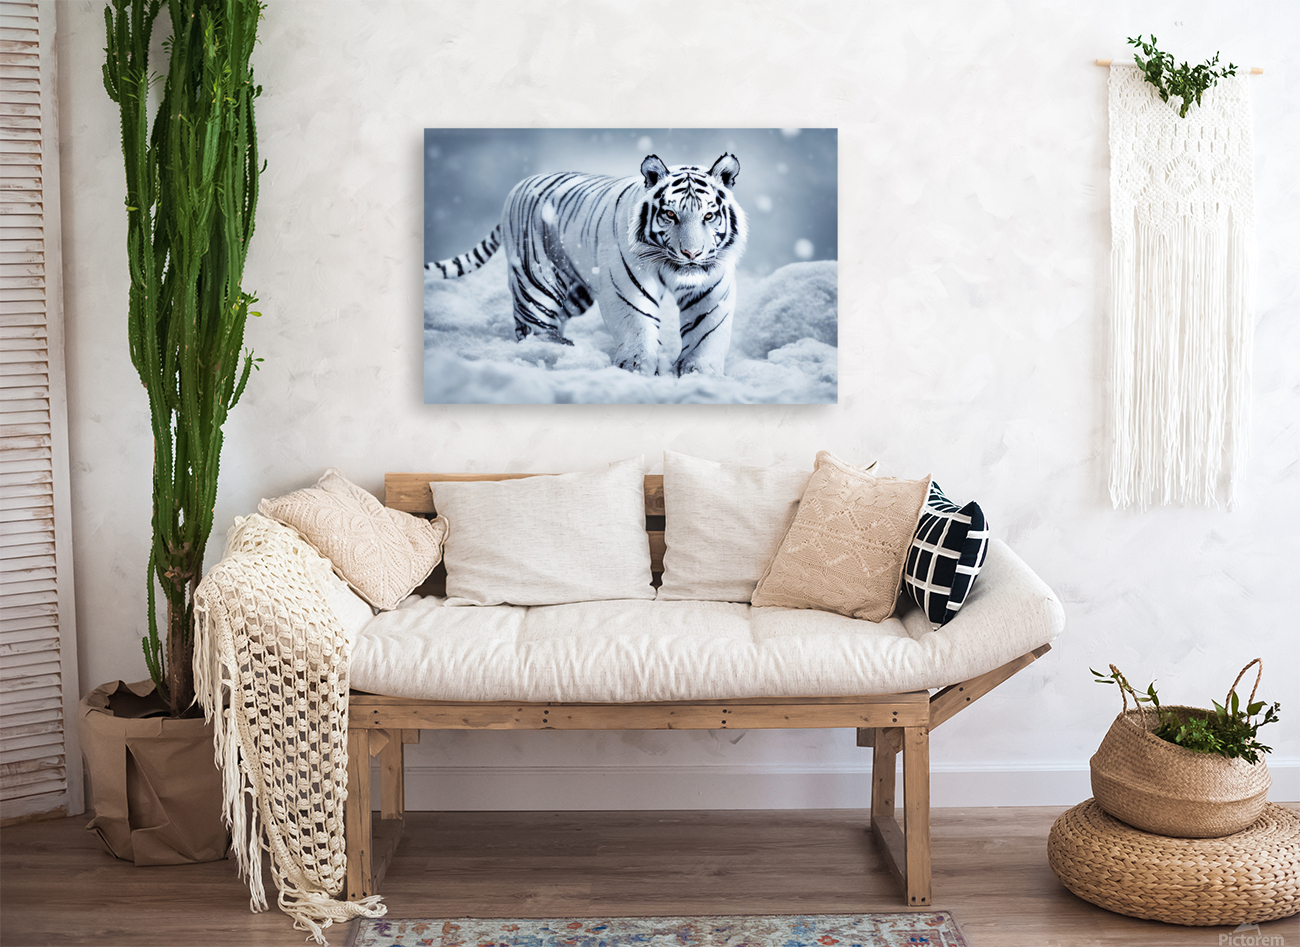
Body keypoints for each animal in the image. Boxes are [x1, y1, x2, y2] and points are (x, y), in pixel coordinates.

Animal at [427, 153, 748, 377]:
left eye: (708, 216)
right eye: (670, 214)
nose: (692, 253)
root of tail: (519, 185)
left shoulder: (711, 288)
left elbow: (706, 330)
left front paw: (698, 372)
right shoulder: (627, 287)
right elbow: (639, 324)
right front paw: (638, 367)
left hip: (576, 291)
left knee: (556, 316)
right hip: (538, 278)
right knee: (532, 322)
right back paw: (550, 352)